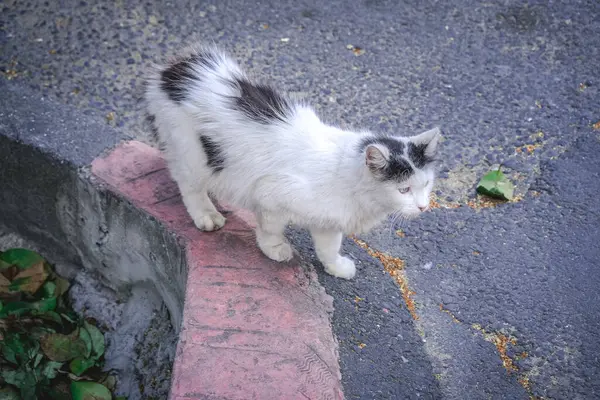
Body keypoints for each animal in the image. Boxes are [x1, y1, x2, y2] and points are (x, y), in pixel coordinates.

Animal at [145, 43, 440, 280]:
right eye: (404, 189)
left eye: (426, 185)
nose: (423, 207)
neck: (346, 178)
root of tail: (178, 69)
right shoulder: (271, 194)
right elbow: (271, 227)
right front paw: (274, 249)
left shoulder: (328, 222)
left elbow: (328, 247)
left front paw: (336, 267)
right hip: (193, 155)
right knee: (188, 184)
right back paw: (207, 214)